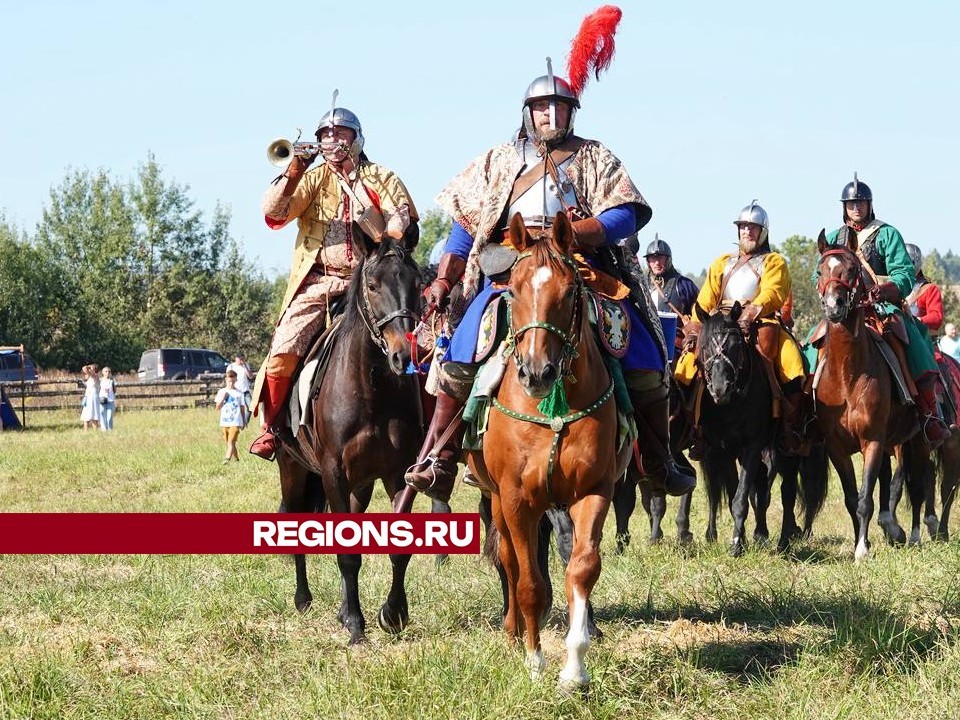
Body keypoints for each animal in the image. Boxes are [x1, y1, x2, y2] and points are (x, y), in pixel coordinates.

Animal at [278, 233, 428, 644]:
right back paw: (303, 599)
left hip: (359, 485)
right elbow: (346, 554)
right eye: (372, 286)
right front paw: (358, 629)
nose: (402, 355)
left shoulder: (396, 474)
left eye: (417, 283)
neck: (370, 390)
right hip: (293, 470)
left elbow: (398, 548)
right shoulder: (332, 473)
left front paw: (392, 614)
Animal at [464, 211, 632, 688]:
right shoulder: (518, 499)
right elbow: (529, 583)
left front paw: (574, 667)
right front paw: (534, 662)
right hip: (496, 498)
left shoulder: (593, 492)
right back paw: (513, 634)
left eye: (570, 290)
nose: (537, 373)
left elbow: (582, 567)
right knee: (510, 560)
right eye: (514, 291)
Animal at [696, 300, 780, 556]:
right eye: (704, 346)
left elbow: (743, 496)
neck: (732, 405)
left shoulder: (753, 447)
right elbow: (732, 493)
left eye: (736, 345)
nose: (720, 389)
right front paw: (739, 540)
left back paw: (761, 534)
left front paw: (738, 543)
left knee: (761, 489)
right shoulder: (722, 450)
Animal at [812, 229, 932, 556]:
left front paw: (862, 551)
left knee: (916, 487)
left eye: (852, 269)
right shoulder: (837, 448)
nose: (834, 306)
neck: (847, 377)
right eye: (821, 271)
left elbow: (867, 497)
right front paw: (860, 541)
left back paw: (912, 535)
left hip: (915, 441)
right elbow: (853, 498)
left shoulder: (873, 441)